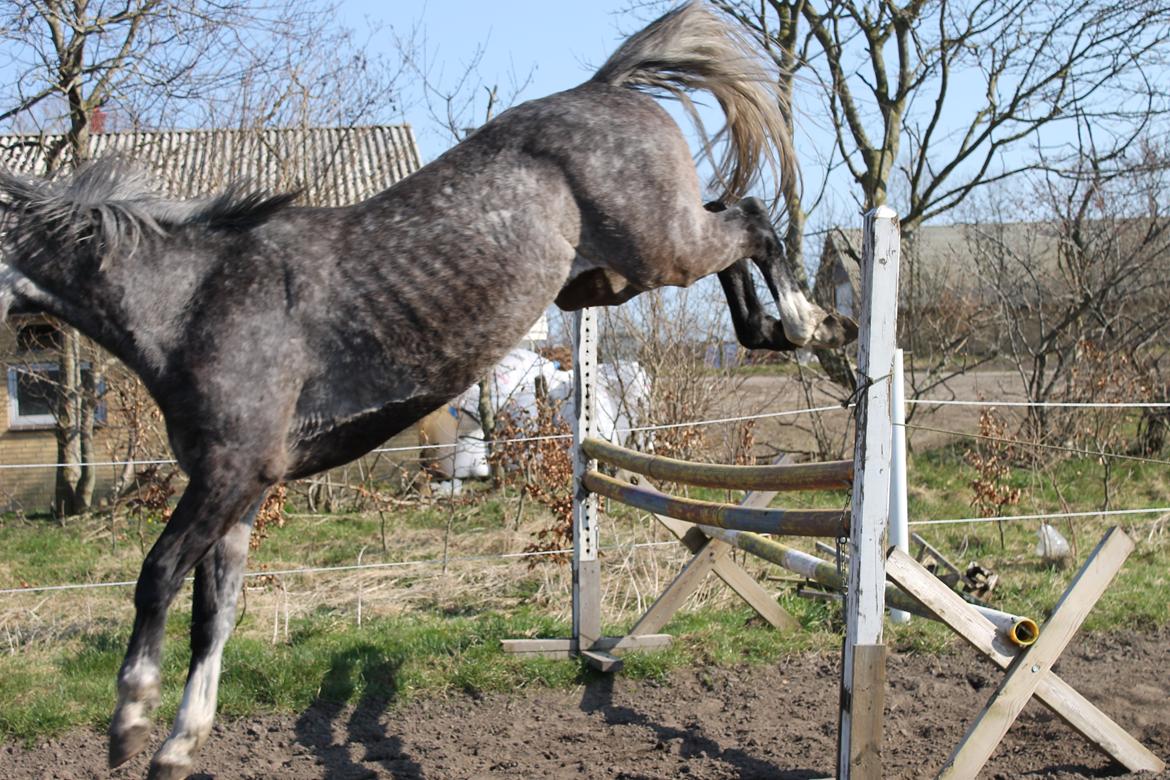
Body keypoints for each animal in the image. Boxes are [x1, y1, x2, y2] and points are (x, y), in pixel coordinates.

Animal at [2, 3, 861, 776]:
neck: (193, 300)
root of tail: (607, 85)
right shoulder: (243, 490)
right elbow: (213, 614)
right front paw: (179, 745)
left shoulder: (228, 474)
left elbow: (156, 577)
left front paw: (129, 720)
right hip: (617, 276)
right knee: (734, 229)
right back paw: (777, 332)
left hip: (659, 245)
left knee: (750, 218)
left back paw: (817, 325)